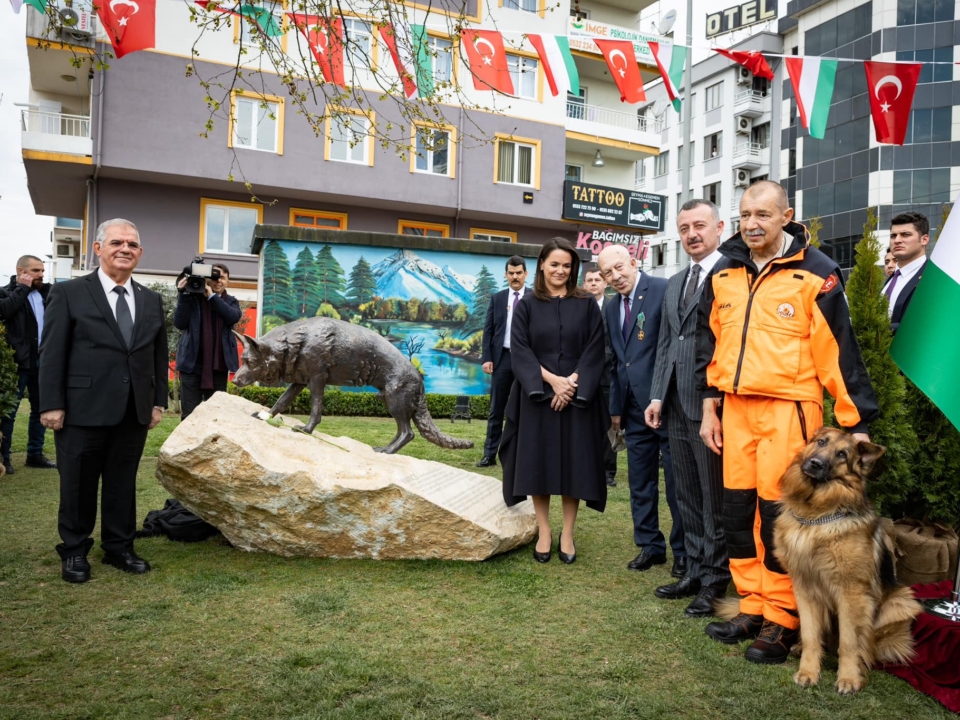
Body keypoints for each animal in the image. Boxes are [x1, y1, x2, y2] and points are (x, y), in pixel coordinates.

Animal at [772, 428, 924, 692]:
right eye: (821, 442)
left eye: (842, 454)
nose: (815, 463)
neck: (815, 516)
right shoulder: (805, 589)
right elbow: (811, 635)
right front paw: (808, 671)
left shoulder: (851, 593)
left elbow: (850, 642)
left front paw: (850, 678)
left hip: (901, 601)